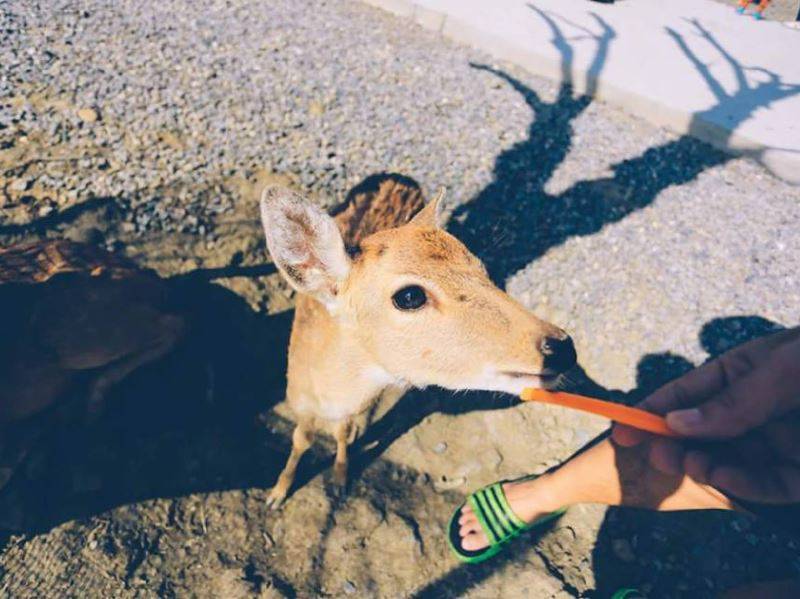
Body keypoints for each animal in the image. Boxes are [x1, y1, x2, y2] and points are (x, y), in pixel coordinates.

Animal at [260, 176, 580, 508]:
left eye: (483, 270)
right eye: (410, 296)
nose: (562, 349)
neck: (330, 394)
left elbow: (341, 433)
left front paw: (339, 480)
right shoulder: (298, 401)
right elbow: (301, 439)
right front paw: (278, 493)